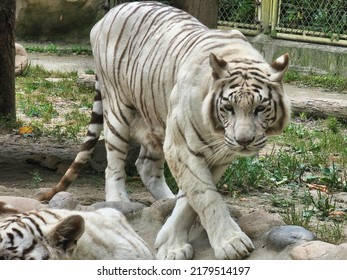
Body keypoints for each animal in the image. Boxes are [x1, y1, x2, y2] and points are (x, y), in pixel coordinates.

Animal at [39, 1, 292, 260]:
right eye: (228, 107)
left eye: (260, 108)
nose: (244, 141)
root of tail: (109, 14)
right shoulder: (181, 146)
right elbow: (205, 195)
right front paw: (230, 243)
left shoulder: (218, 153)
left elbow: (192, 198)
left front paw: (172, 241)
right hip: (118, 111)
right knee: (114, 164)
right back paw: (119, 200)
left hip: (155, 122)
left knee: (146, 166)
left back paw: (166, 201)